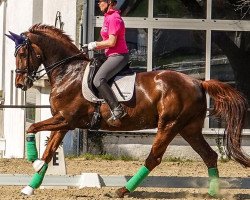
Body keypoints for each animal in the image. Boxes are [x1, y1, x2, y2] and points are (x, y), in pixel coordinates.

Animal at [6, 24, 249, 198]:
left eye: (22, 54)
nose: (20, 84)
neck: (68, 72)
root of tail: (198, 82)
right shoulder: (63, 121)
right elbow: (48, 150)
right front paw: (30, 186)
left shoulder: (68, 119)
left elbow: (32, 128)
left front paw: (34, 162)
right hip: (189, 128)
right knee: (209, 156)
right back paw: (213, 192)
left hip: (169, 125)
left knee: (154, 158)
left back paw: (122, 191)